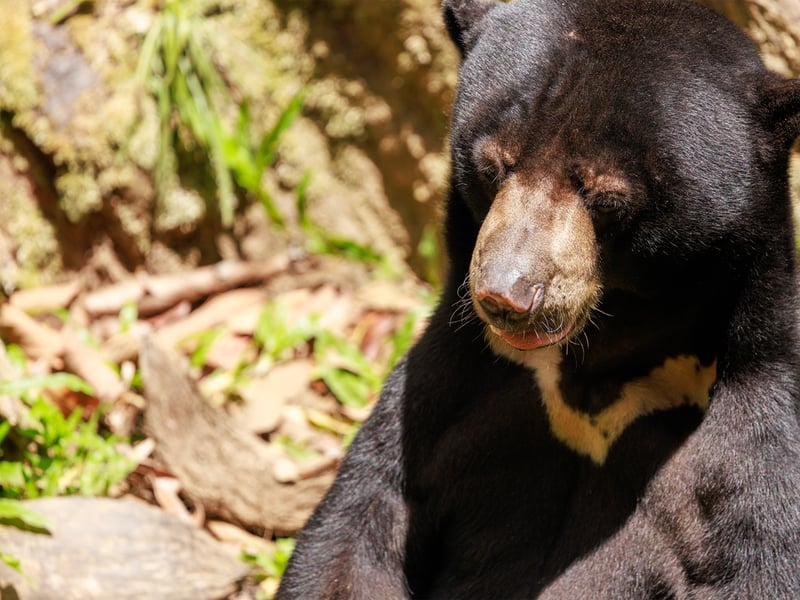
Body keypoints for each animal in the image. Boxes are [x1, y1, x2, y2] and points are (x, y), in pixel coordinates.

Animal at [278, 0, 800, 597]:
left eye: (607, 198)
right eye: (491, 167)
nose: (507, 295)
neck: (596, 369)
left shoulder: (752, 423)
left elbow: (762, 553)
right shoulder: (448, 386)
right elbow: (360, 524)